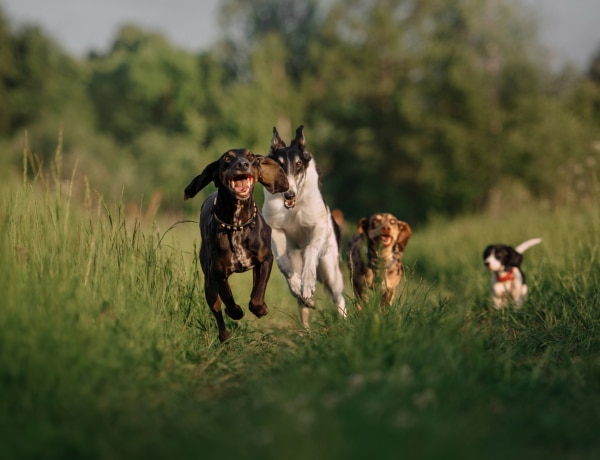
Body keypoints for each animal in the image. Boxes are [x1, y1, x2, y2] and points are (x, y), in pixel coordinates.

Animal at [184, 149, 290, 344]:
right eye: (227, 157)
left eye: (251, 157)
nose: (242, 164)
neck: (237, 224)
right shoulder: (218, 273)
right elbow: (228, 298)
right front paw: (235, 311)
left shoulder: (265, 260)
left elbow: (257, 294)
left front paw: (260, 309)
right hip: (209, 284)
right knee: (217, 311)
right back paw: (225, 337)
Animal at [262, 124, 346, 328]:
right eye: (280, 166)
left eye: (298, 165)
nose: (289, 194)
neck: (294, 206)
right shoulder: (275, 228)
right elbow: (283, 263)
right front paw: (297, 286)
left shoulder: (319, 225)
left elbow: (310, 250)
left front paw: (307, 285)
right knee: (303, 307)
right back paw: (306, 322)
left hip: (331, 269)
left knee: (339, 297)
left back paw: (344, 321)